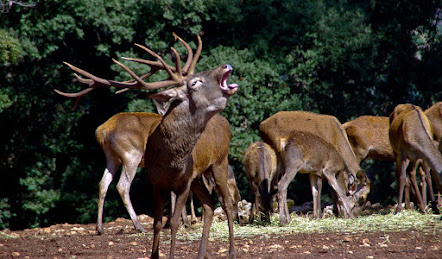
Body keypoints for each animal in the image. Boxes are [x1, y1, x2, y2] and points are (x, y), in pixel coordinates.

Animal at [58, 34, 240, 259]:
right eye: (195, 82)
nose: (226, 65)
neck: (170, 159)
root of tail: (101, 130)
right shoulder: (157, 182)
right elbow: (157, 223)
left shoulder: (184, 181)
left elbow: (173, 223)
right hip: (142, 159)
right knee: (208, 203)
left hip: (218, 162)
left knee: (225, 202)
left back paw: (230, 252)